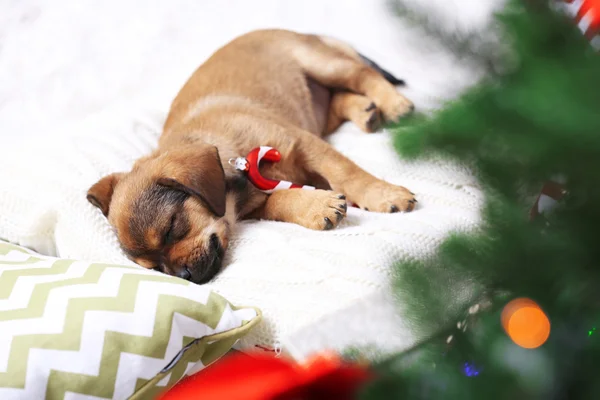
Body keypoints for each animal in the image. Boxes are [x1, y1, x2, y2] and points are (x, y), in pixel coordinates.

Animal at [86, 28, 418, 284]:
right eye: (154, 268)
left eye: (171, 229)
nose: (183, 277)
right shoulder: (257, 204)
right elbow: (280, 201)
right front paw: (315, 206)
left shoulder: (304, 143)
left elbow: (346, 172)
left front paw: (384, 194)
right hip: (317, 104)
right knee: (338, 98)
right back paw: (365, 111)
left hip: (324, 64)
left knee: (364, 75)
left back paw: (394, 103)